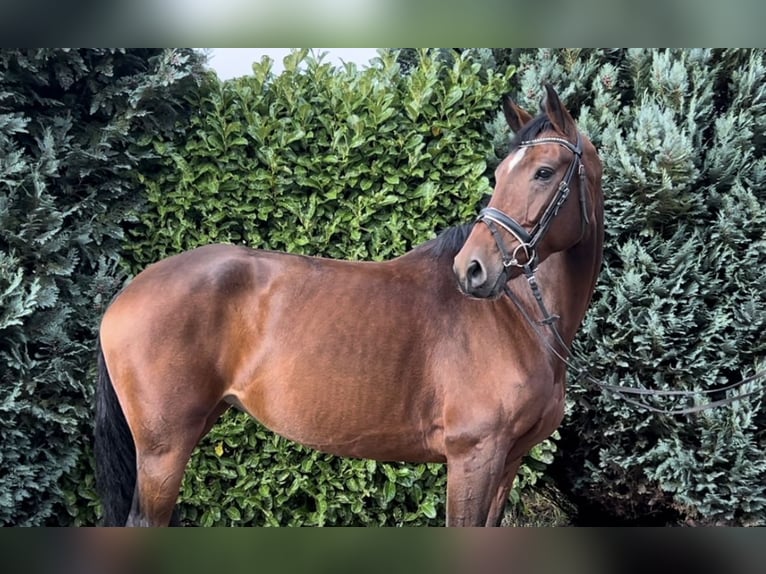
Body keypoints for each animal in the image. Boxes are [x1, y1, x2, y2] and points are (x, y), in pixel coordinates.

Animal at [93, 83, 604, 528]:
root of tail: (126, 295)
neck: (522, 319)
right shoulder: (473, 456)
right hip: (163, 449)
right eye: (499, 175)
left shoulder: (509, 460)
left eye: (543, 172)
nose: (472, 269)